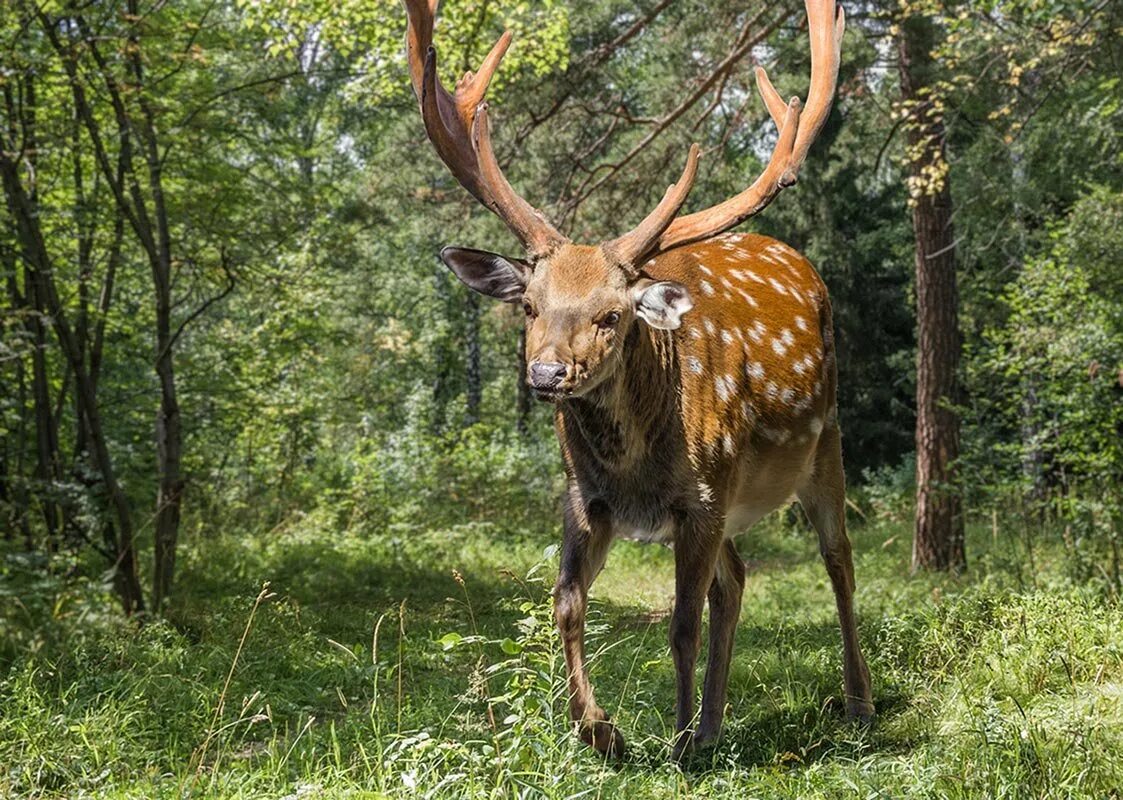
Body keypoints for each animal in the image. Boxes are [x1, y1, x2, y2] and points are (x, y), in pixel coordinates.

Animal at [404, 0, 875, 759]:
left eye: (612, 315)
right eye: (529, 305)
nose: (546, 373)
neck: (635, 471)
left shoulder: (701, 499)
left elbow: (679, 623)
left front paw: (675, 745)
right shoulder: (584, 499)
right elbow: (566, 604)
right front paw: (602, 731)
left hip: (823, 439)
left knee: (838, 559)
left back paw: (855, 702)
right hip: (734, 496)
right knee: (735, 580)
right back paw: (713, 723)